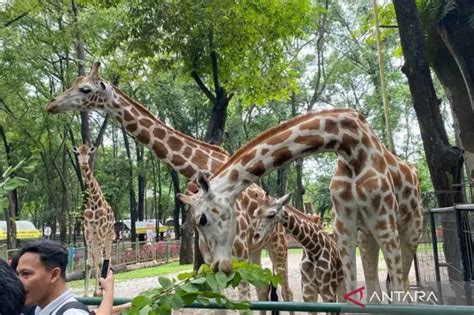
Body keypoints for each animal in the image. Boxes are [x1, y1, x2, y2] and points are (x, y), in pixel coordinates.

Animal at [73, 144, 115, 298]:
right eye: (78, 153)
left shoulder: (101, 229)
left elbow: (101, 261)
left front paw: (101, 291)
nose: (84, 163)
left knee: (107, 258)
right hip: (96, 238)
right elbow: (90, 262)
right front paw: (86, 294)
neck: (93, 200)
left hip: (108, 236)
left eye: (89, 153)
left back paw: (100, 290)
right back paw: (96, 291)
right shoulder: (88, 230)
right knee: (97, 258)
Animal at [178, 109, 422, 298]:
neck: (350, 145)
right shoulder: (345, 225)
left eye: (202, 219)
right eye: (253, 213)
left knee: (403, 282)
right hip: (366, 237)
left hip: (408, 231)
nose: (219, 266)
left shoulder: (384, 221)